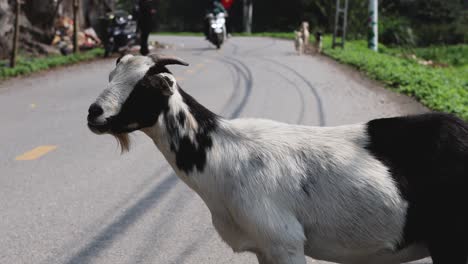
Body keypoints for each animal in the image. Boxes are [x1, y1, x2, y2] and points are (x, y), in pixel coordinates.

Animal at [88, 54, 468, 264]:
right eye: (111, 77)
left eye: (145, 87)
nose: (94, 113)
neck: (222, 155)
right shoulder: (263, 248)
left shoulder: (285, 242)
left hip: (451, 241)